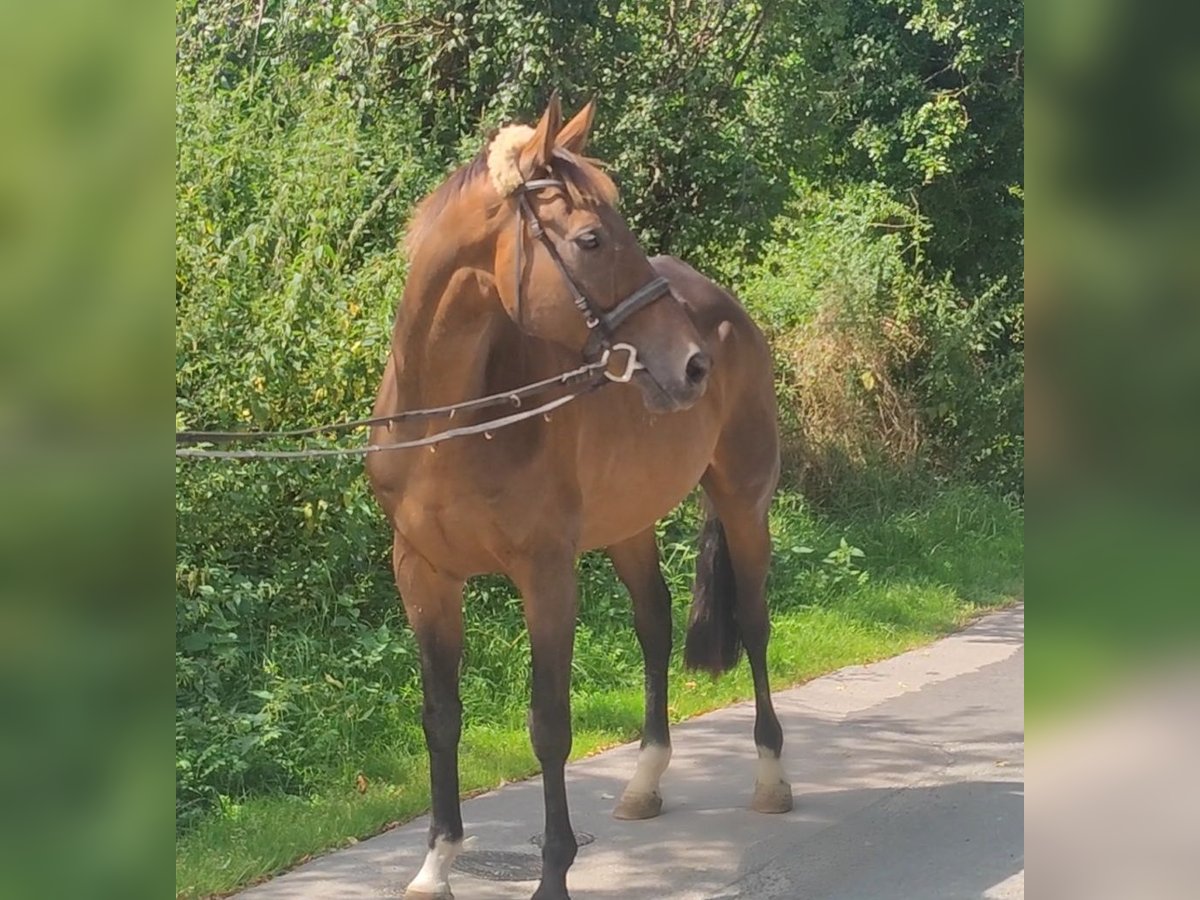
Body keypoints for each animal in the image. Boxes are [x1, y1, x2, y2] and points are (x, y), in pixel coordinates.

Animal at [367, 98, 796, 900]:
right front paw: (436, 863)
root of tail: (723, 307)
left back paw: (770, 776)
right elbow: (440, 715)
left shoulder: (546, 574)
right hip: (628, 524)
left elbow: (550, 725)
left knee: (755, 624)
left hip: (744, 501)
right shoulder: (421, 573)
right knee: (654, 624)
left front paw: (553, 874)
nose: (691, 365)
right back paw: (645, 782)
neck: (452, 423)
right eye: (591, 239)